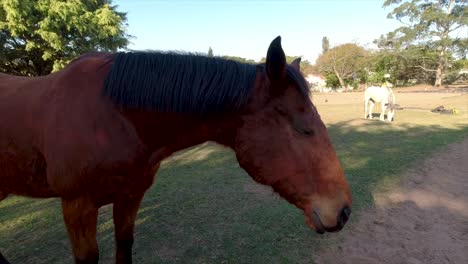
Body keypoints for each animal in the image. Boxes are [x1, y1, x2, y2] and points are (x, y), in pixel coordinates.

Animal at [0, 36, 352, 262]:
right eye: (303, 128)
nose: (344, 211)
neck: (110, 115)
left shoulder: (130, 197)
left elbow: (124, 246)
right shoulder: (77, 206)